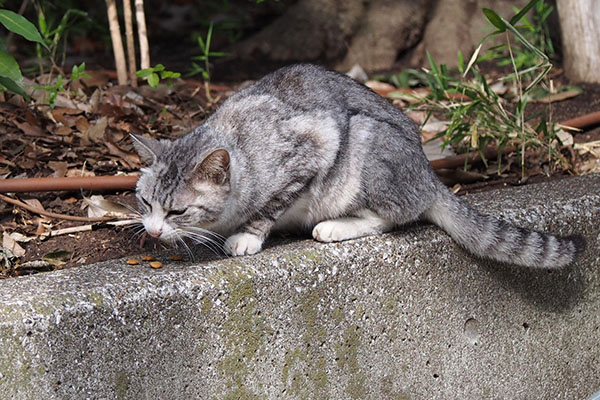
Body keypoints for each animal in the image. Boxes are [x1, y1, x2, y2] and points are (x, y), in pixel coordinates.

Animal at [132, 63, 584, 268]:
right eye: (145, 203)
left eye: (178, 210)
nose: (152, 231)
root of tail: (428, 173)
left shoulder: (315, 145)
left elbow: (269, 207)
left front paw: (246, 236)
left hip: (367, 142)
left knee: (395, 216)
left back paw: (333, 226)